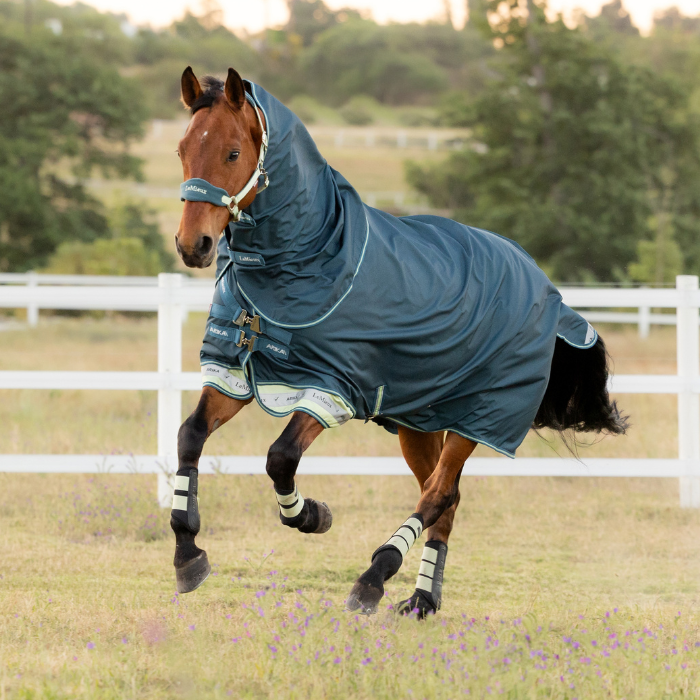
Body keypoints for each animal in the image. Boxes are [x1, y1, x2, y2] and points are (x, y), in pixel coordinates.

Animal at [171, 66, 626, 617]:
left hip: (476, 420)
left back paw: (374, 577)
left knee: (436, 496)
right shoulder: (236, 374)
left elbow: (280, 458)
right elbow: (190, 436)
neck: (313, 259)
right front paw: (188, 554)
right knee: (445, 499)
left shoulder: (332, 388)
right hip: (420, 421)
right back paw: (422, 599)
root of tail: (544, 286)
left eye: (233, 153)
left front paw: (312, 515)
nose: (193, 245)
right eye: (182, 149)